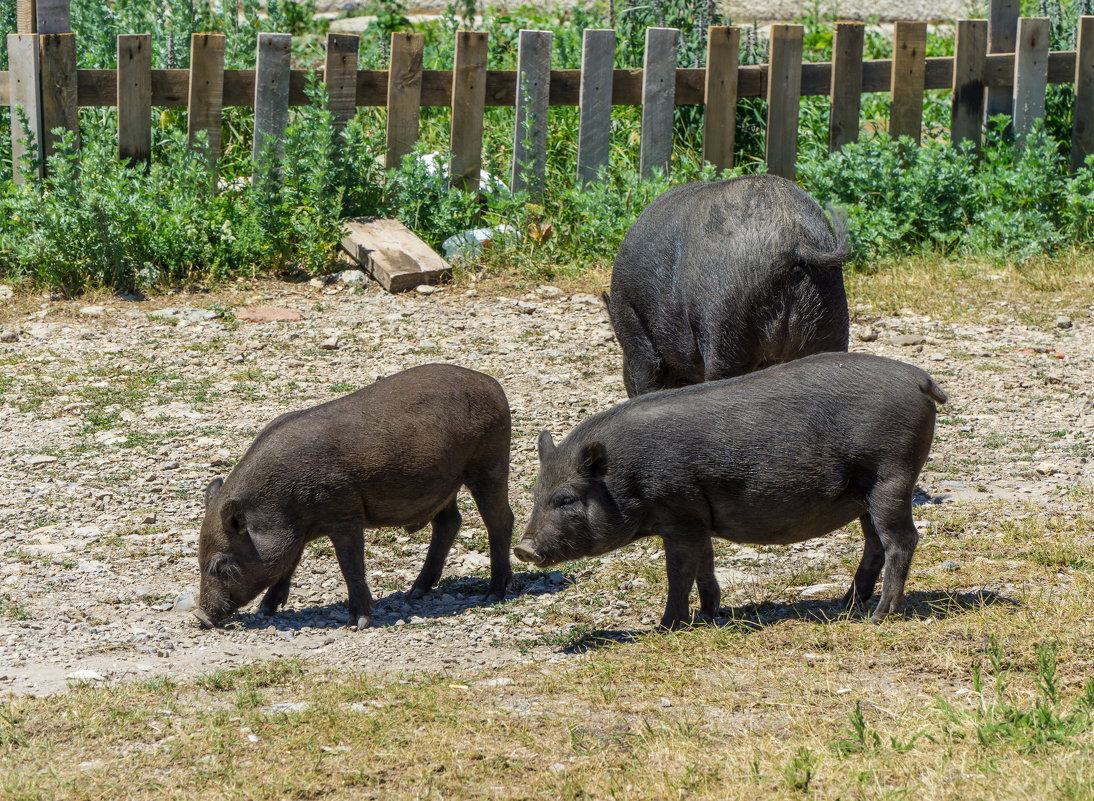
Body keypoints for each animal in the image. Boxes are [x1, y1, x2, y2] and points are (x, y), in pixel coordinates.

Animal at [193, 365, 516, 630]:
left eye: (222, 564)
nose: (201, 616)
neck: (282, 504)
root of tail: (493, 385)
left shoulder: (344, 514)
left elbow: (350, 566)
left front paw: (358, 622)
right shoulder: (298, 532)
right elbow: (288, 564)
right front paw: (265, 611)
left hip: (490, 463)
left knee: (500, 520)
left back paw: (493, 593)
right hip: (445, 486)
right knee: (450, 522)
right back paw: (416, 592)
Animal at [514, 354, 949, 630]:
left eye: (567, 498)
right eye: (535, 495)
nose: (523, 548)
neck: (627, 476)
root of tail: (919, 379)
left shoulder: (679, 513)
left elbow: (679, 572)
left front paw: (665, 627)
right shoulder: (696, 519)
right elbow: (704, 565)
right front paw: (710, 615)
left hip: (892, 477)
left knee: (902, 540)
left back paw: (878, 617)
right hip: (866, 495)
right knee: (874, 543)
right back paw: (846, 606)